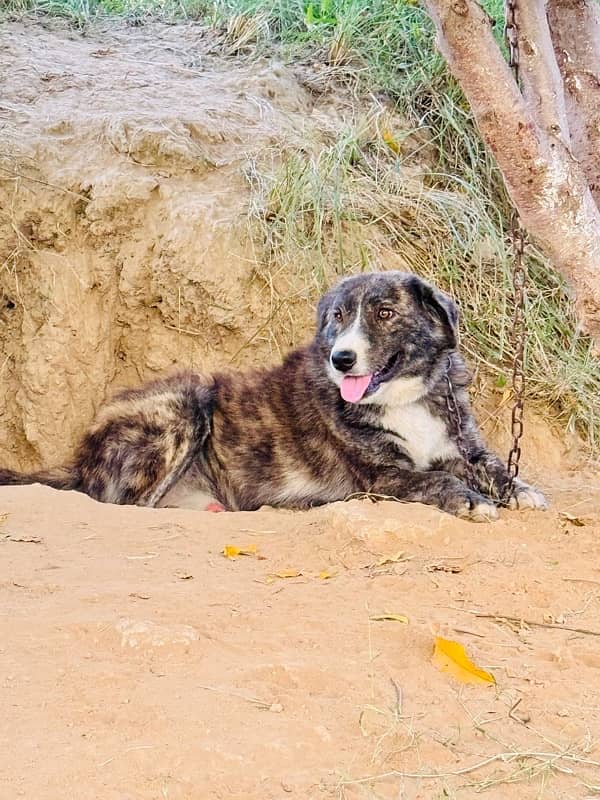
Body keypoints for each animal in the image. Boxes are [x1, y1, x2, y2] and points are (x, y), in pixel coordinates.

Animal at [0, 270, 548, 520]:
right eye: (337, 317)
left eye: (385, 313)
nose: (341, 359)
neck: (404, 398)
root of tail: (80, 456)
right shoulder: (383, 475)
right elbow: (434, 481)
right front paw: (471, 500)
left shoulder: (463, 447)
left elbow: (496, 468)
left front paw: (521, 491)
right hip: (187, 400)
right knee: (126, 504)